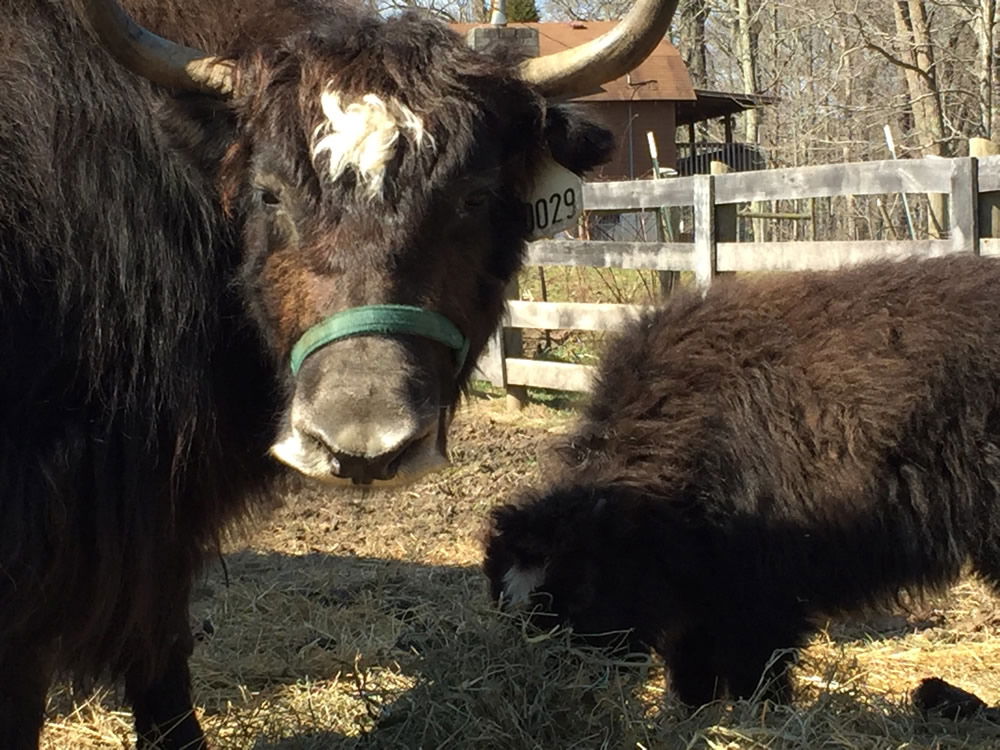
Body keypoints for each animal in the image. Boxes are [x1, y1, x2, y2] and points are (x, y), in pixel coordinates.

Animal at [484, 256, 1000, 708]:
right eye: (500, 595)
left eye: (582, 587)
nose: (544, 680)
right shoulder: (702, 603)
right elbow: (693, 677)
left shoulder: (764, 600)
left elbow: (759, 675)